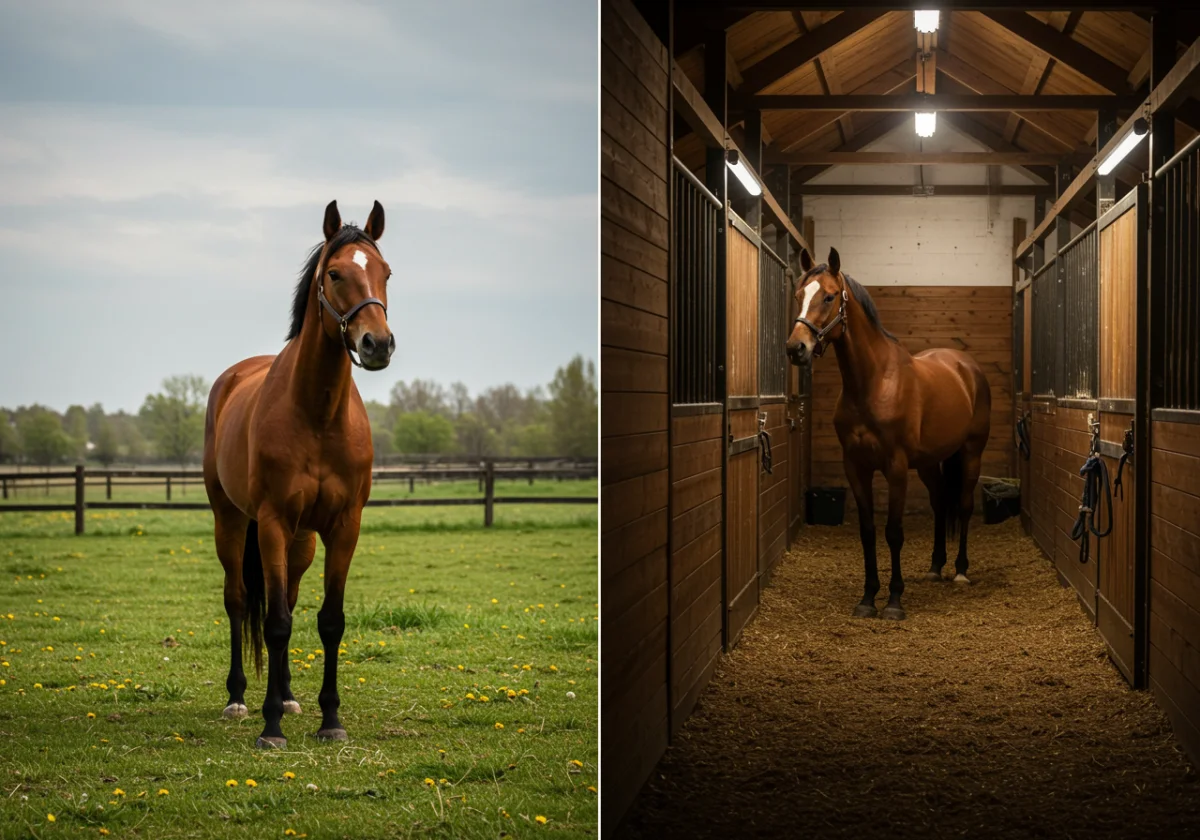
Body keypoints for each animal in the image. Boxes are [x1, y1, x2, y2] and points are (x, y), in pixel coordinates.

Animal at [202, 200, 394, 747]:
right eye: (335, 273)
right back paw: (239, 699)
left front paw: (331, 720)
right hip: (231, 522)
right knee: (240, 601)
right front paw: (271, 728)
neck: (318, 415)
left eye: (385, 272)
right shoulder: (270, 523)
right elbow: (275, 624)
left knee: (284, 595)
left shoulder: (344, 527)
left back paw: (287, 696)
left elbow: (329, 621)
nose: (378, 344)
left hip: (302, 540)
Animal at [785, 247, 991, 621]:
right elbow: (868, 532)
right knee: (941, 503)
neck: (873, 382)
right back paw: (935, 567)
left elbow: (893, 532)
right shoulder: (856, 467)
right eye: (798, 296)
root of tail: (966, 367)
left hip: (971, 453)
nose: (796, 349)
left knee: (965, 506)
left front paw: (894, 601)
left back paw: (960, 571)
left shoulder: (895, 468)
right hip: (928, 464)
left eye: (829, 296)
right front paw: (868, 598)